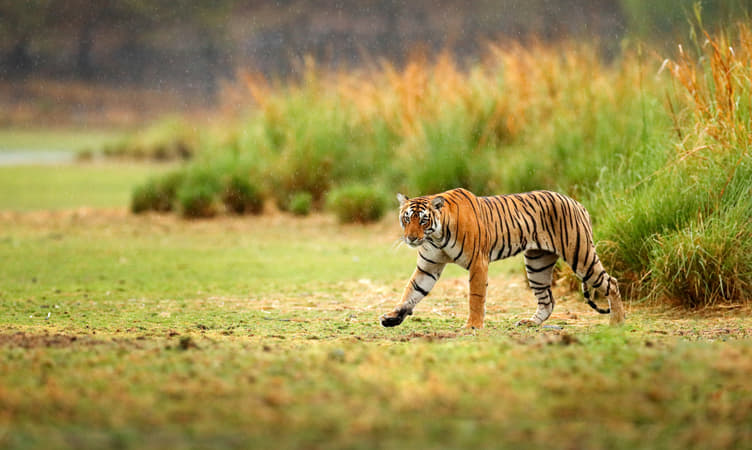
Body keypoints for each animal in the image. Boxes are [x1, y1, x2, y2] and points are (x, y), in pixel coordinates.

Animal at [380, 188, 626, 329]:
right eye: (406, 218)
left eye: (423, 220)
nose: (411, 238)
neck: (436, 237)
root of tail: (577, 203)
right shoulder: (428, 267)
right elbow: (411, 292)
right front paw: (392, 318)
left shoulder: (478, 262)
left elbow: (476, 297)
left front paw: (473, 326)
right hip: (537, 265)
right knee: (548, 300)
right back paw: (530, 323)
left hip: (580, 255)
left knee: (611, 282)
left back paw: (617, 321)